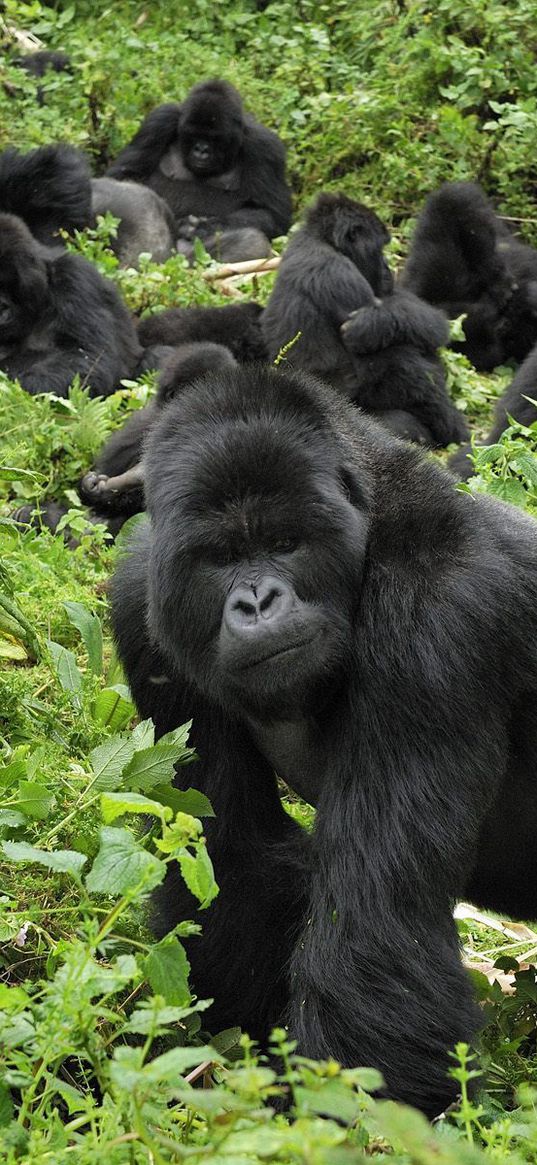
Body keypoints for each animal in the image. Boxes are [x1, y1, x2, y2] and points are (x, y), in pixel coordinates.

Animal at [106, 81, 291, 262]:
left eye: (215, 138)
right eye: (193, 134)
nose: (201, 149)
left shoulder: (264, 146)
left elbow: (272, 215)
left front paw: (202, 227)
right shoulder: (160, 120)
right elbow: (124, 176)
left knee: (251, 241)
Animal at [110, 363, 535, 1118]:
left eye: (286, 542)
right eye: (222, 556)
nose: (257, 603)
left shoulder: (440, 614)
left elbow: (375, 925)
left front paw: (348, 1124)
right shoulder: (144, 607)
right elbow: (234, 865)